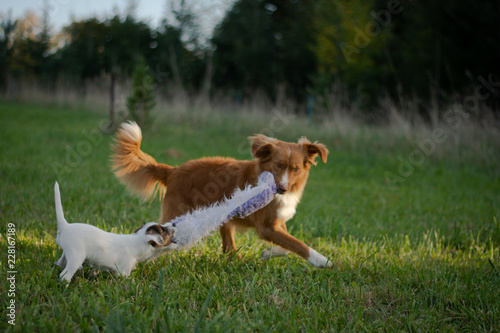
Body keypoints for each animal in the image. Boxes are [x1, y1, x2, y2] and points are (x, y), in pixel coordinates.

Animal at [113, 122, 332, 268]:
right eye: (278, 165)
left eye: (296, 169)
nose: (282, 189)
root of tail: (172, 170)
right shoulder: (266, 227)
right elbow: (297, 243)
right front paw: (321, 260)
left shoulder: (276, 222)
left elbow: (287, 246)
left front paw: (267, 253)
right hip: (176, 215)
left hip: (222, 217)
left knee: (228, 248)